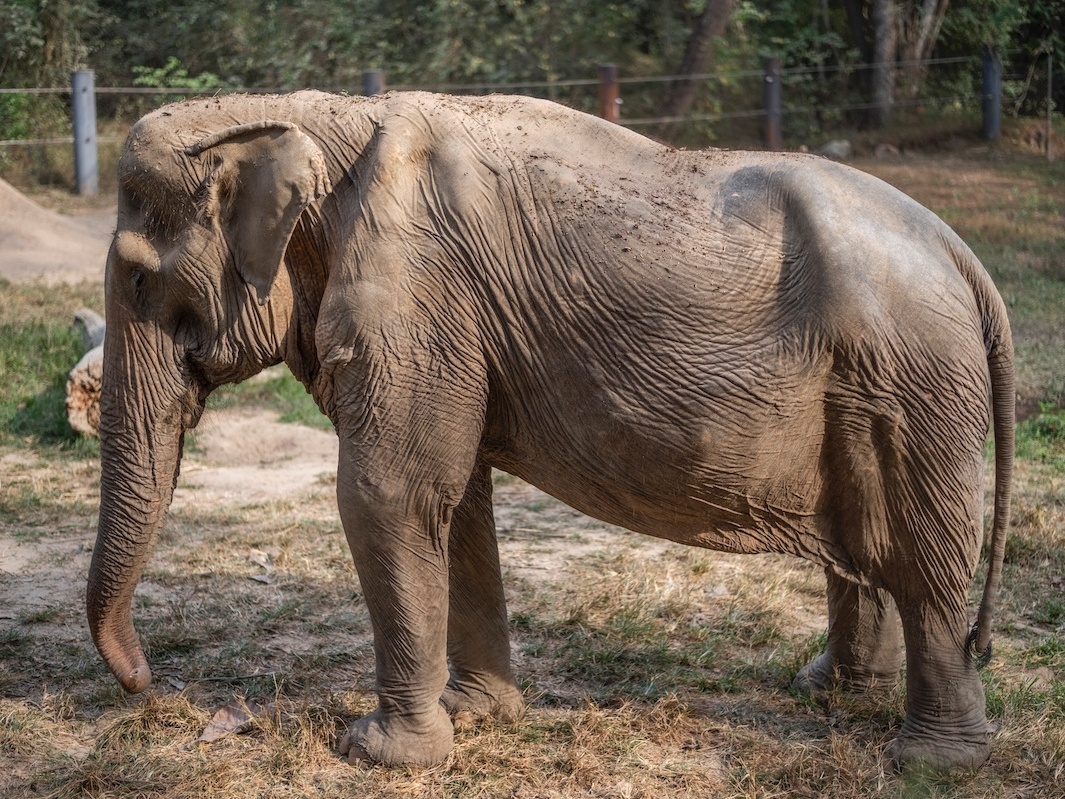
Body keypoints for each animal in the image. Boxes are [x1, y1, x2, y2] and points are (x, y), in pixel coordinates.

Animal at [87, 92, 1009, 775]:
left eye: (136, 280)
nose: (150, 685)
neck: (304, 114)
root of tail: (965, 258)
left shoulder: (418, 293)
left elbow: (387, 493)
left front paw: (380, 753)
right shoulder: (450, 324)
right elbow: (454, 501)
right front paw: (475, 714)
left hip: (913, 382)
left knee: (923, 559)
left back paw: (931, 761)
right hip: (877, 385)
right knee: (868, 542)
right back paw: (828, 694)